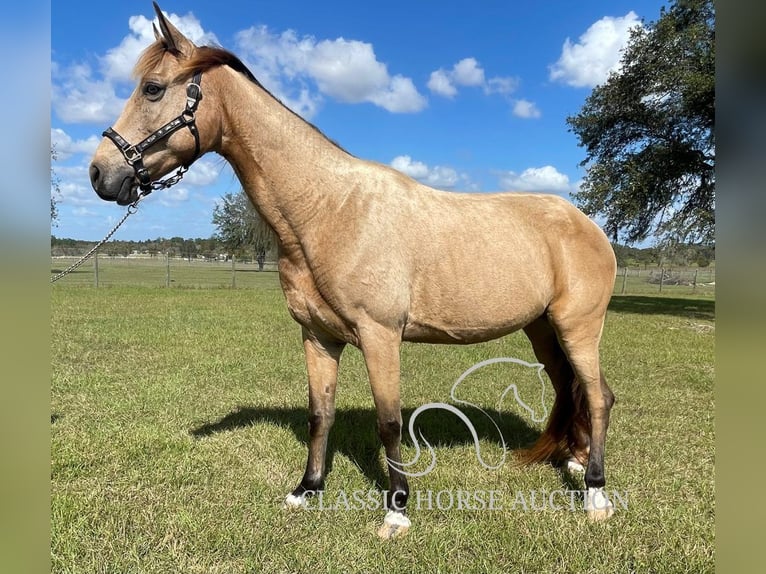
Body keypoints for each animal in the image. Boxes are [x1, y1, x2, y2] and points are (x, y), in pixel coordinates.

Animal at [90, 3, 616, 540]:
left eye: (153, 88)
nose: (99, 173)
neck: (331, 210)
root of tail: (588, 226)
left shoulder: (380, 335)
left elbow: (388, 422)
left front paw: (397, 510)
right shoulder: (319, 337)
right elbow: (320, 414)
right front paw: (306, 490)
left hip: (579, 326)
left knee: (598, 397)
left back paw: (595, 493)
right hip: (542, 329)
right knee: (568, 389)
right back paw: (573, 462)